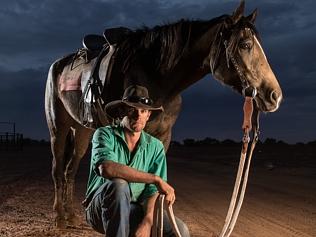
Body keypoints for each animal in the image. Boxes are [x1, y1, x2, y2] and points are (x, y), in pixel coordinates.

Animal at [43, 0, 282, 229]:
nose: (275, 96)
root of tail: (58, 64)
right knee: (57, 170)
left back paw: (71, 215)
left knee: (70, 170)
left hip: (82, 131)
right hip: (58, 129)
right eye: (245, 45)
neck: (155, 75)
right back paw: (60, 217)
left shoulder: (163, 137)